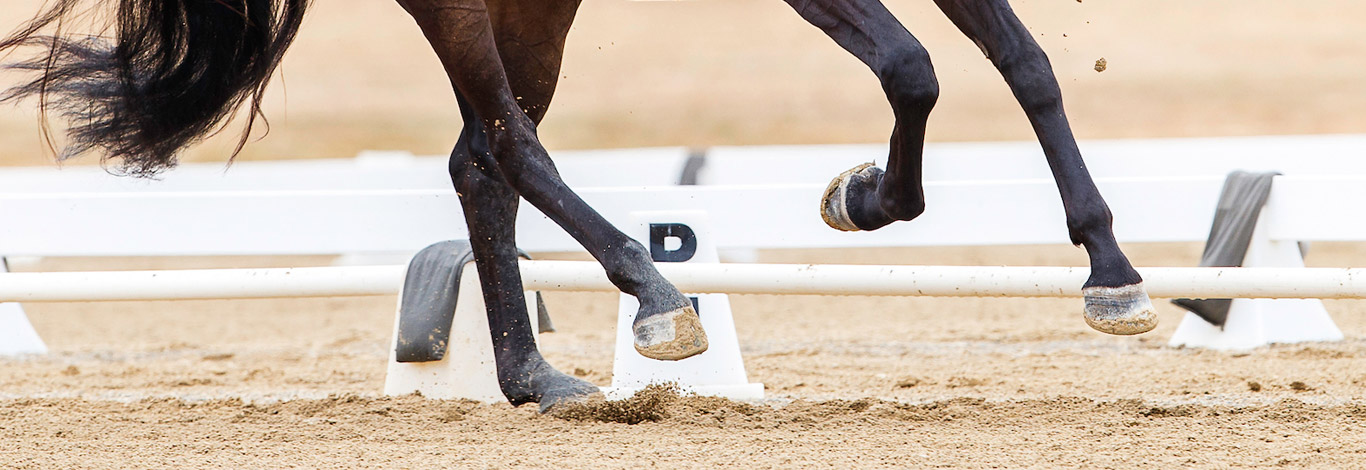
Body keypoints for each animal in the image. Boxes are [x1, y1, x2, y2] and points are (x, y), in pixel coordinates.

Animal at [0, 0, 1158, 409]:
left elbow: (1022, 62)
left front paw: (1112, 273)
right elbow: (913, 65)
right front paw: (865, 195)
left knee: (480, 158)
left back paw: (537, 379)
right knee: (512, 144)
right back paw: (655, 296)